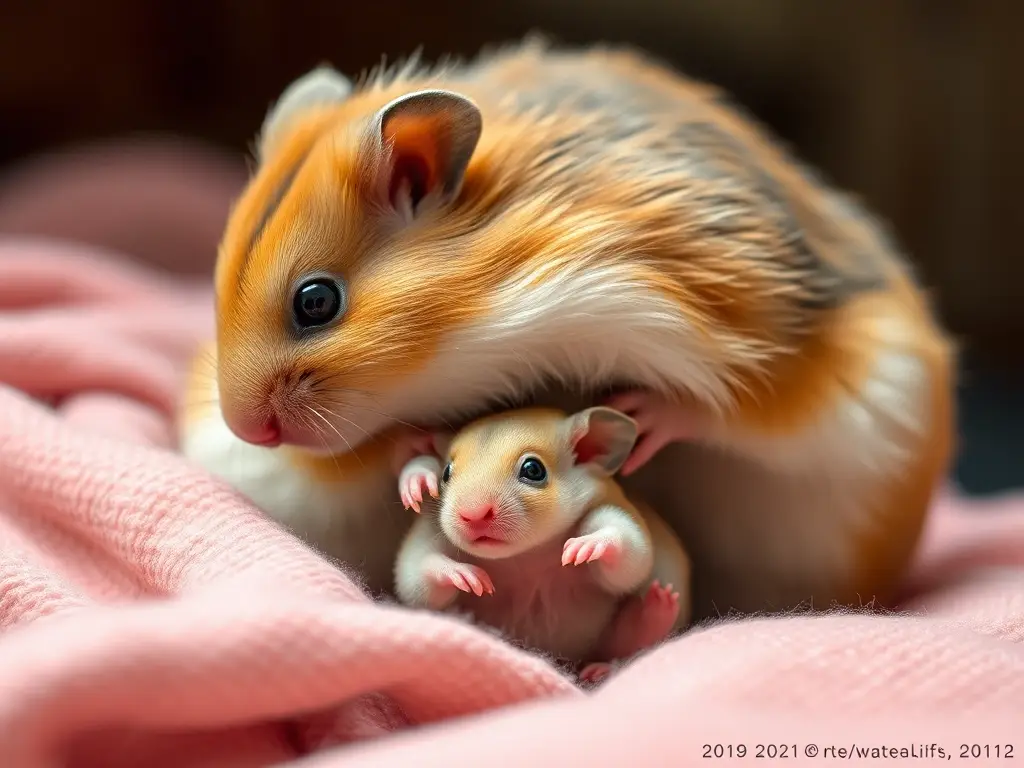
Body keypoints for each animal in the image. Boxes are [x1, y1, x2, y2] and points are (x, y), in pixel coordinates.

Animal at [179, 37, 954, 619]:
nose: (246, 428)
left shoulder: (773, 340)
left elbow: (733, 408)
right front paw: (417, 466)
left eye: (315, 302)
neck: (491, 326)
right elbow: (370, 453)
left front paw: (642, 413)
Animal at [393, 406, 691, 676]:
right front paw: (419, 478)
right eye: (446, 473)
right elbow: (415, 576)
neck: (528, 554)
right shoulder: (429, 532)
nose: (473, 514)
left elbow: (630, 554)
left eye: (533, 469)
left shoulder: (610, 505)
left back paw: (649, 618)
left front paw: (590, 544)